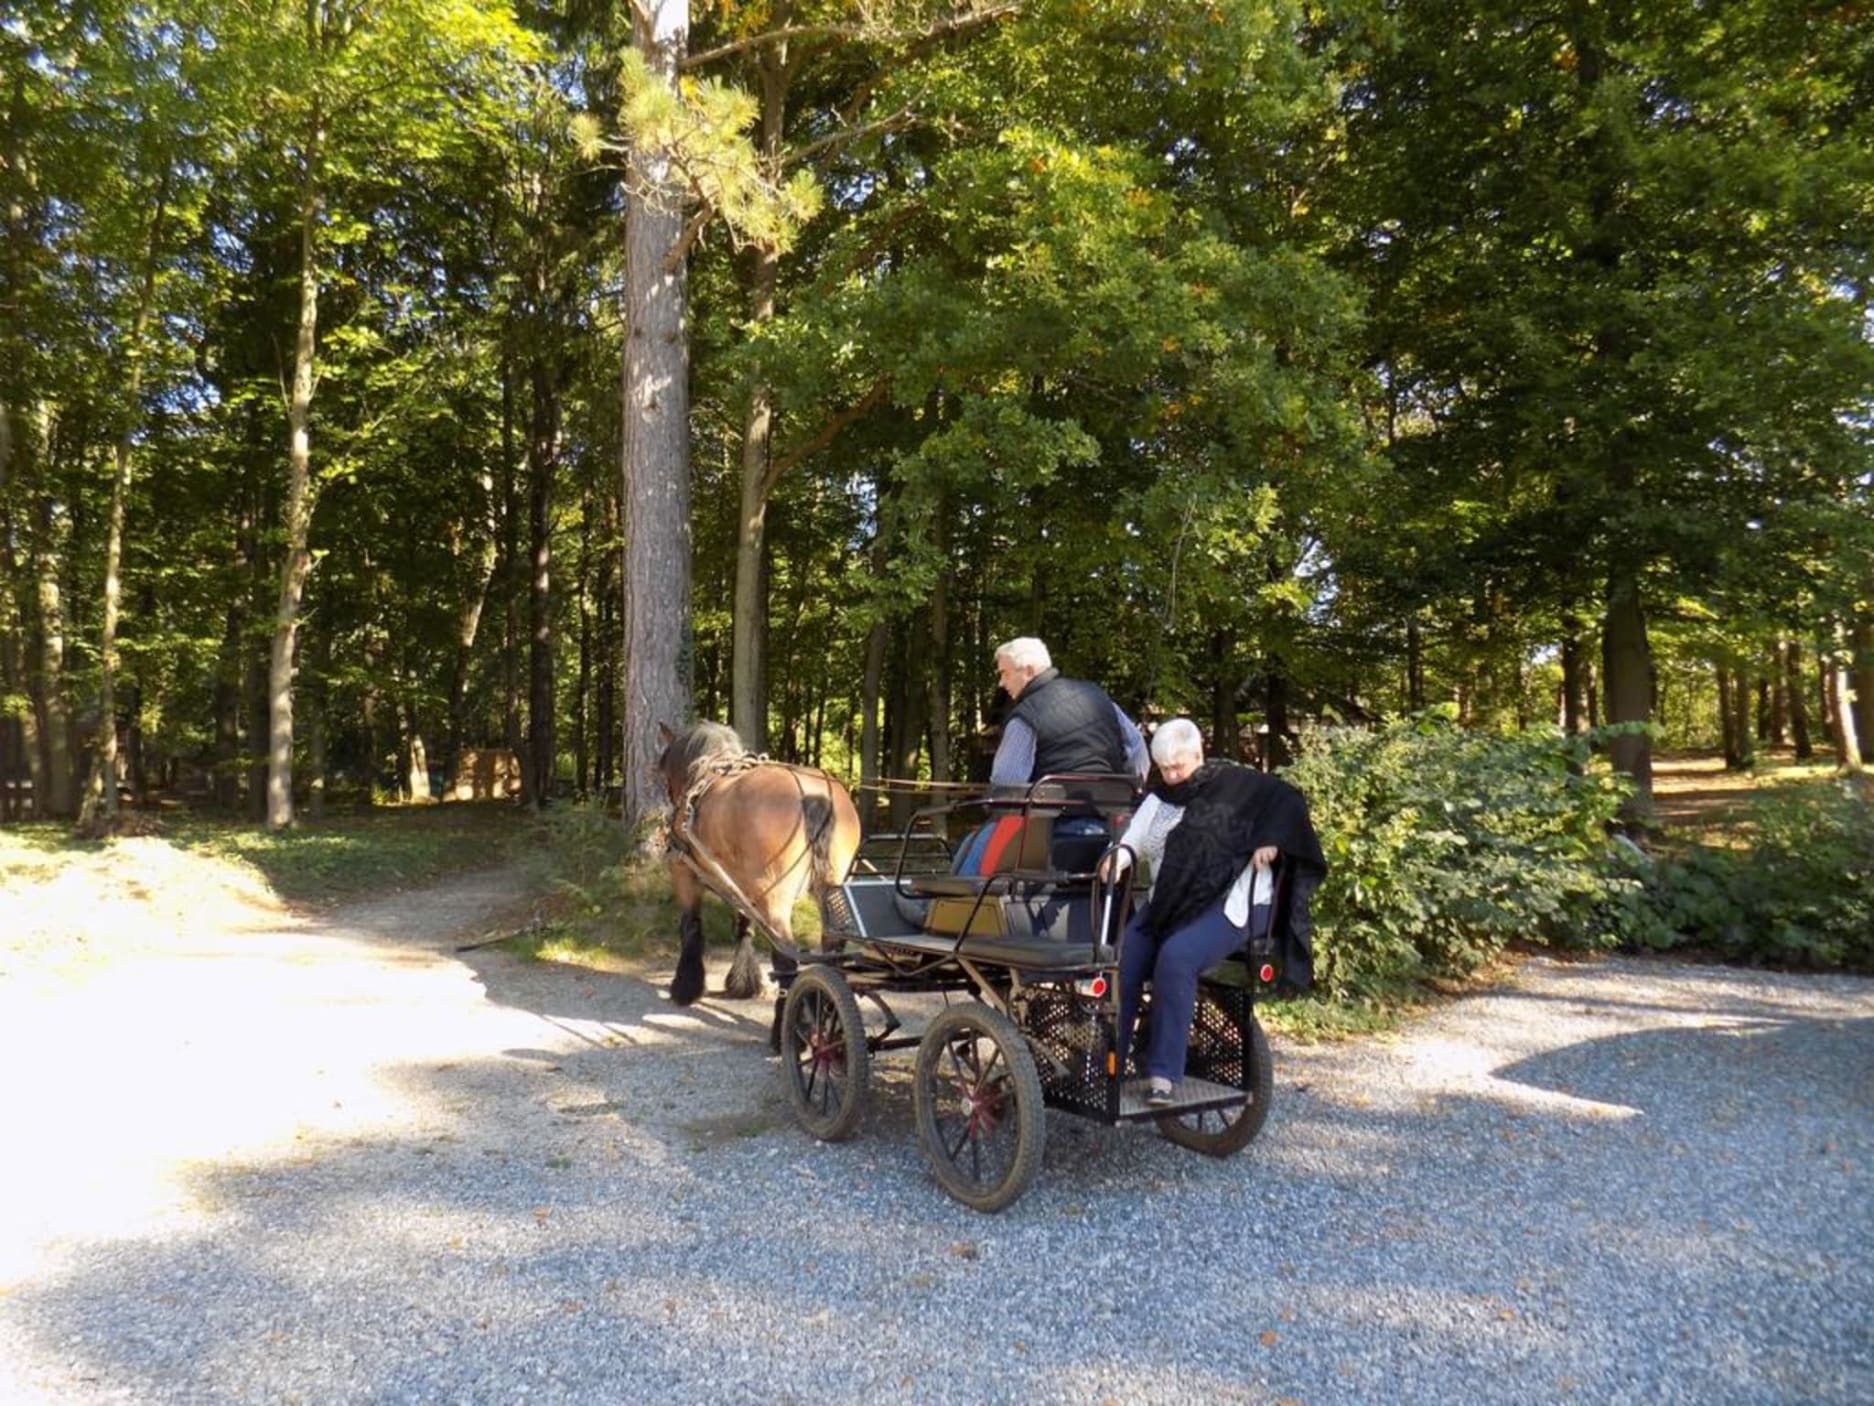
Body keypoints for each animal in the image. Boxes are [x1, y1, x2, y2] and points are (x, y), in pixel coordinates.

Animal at [655, 727, 865, 1027]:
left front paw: (685, 987)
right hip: (831, 887)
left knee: (786, 958)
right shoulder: (740, 884)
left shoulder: (685, 874)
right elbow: (744, 927)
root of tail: (813, 794)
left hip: (774, 898)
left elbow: (691, 926)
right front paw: (743, 983)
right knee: (832, 948)